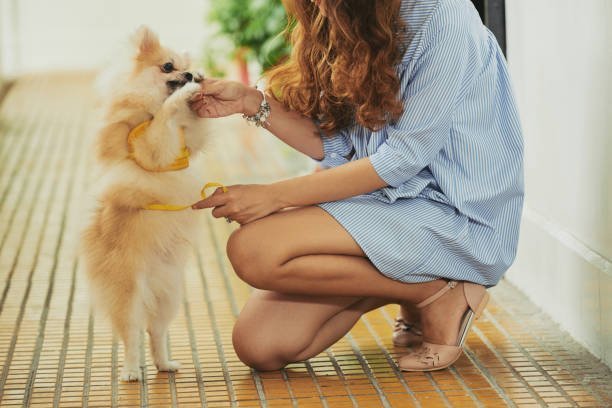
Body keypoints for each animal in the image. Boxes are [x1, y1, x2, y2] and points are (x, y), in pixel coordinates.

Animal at [81, 26, 208, 382]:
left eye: (184, 66)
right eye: (168, 67)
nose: (190, 74)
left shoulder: (189, 141)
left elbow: (194, 131)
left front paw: (198, 92)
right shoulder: (147, 145)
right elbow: (163, 121)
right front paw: (182, 97)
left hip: (170, 295)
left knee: (155, 332)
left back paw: (164, 364)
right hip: (127, 294)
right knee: (131, 335)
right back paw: (130, 370)